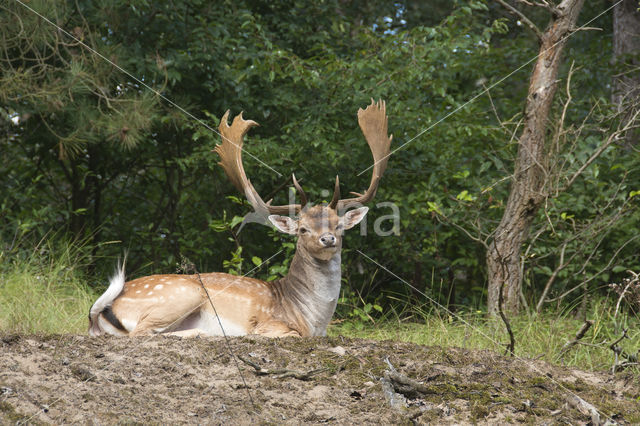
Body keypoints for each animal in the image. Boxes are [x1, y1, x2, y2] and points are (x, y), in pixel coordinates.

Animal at [88, 99, 392, 336]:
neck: (312, 320)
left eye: (339, 226)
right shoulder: (271, 325)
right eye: (303, 229)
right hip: (182, 295)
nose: (328, 239)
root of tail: (100, 312)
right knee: (141, 333)